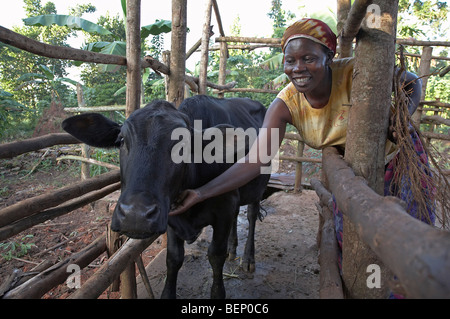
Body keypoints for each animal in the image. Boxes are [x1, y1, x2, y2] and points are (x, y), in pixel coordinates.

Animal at [61, 95, 268, 300]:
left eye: (183, 145)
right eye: (120, 140)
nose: (135, 215)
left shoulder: (224, 209)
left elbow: (216, 256)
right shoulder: (171, 217)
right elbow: (174, 258)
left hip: (258, 186)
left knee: (251, 215)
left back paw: (248, 259)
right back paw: (233, 249)